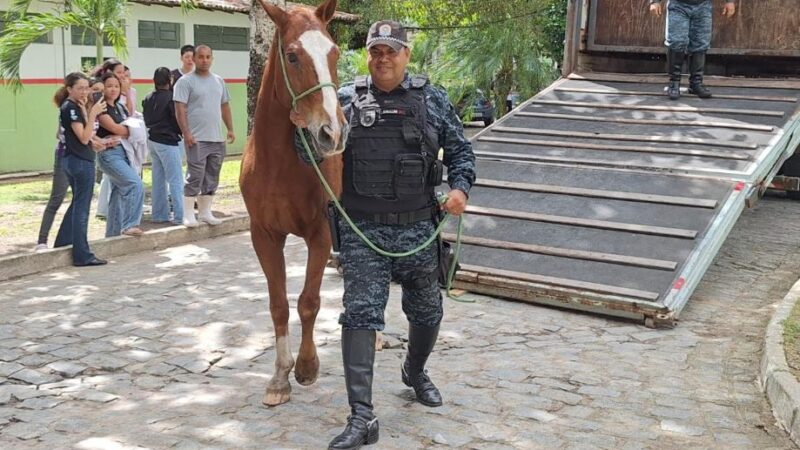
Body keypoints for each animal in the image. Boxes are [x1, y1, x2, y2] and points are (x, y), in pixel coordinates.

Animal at [240, 0, 346, 407]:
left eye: (334, 52)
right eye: (293, 55)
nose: (332, 132)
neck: (279, 163)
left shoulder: (321, 234)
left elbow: (308, 302)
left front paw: (306, 366)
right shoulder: (265, 236)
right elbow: (280, 304)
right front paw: (279, 377)